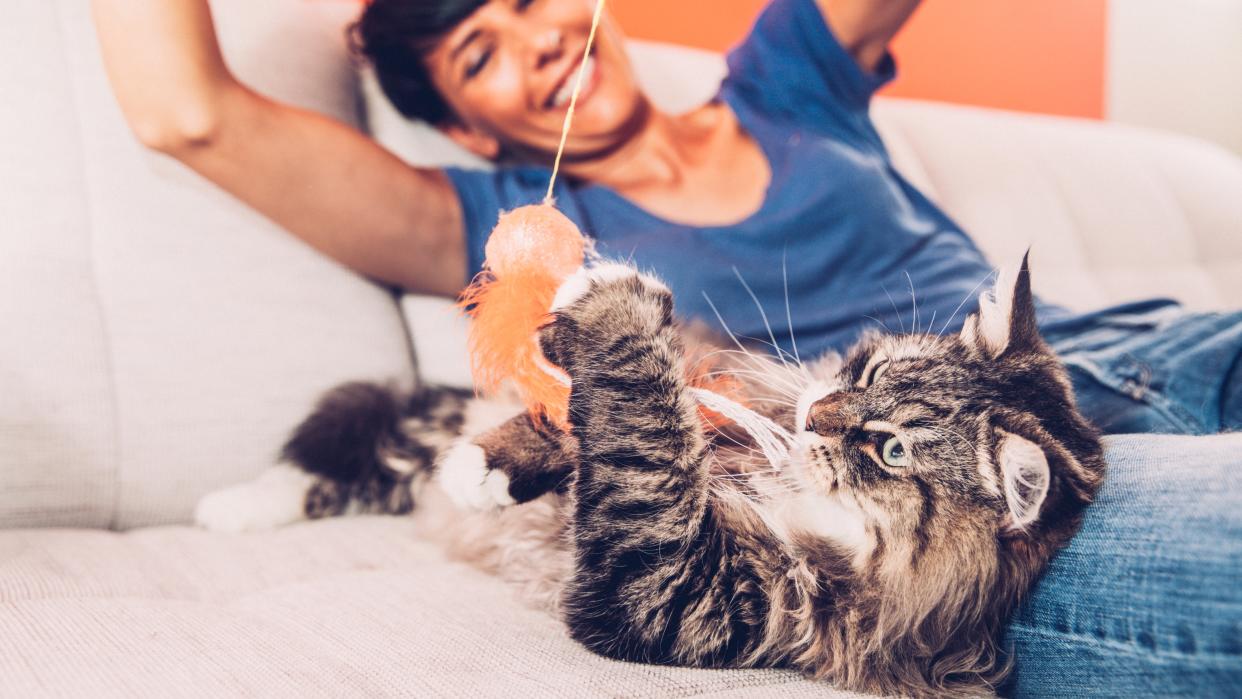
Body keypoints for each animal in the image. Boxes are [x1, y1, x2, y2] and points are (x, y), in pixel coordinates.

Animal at [196, 258, 1107, 699]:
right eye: (870, 369)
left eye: (889, 452)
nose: (819, 413)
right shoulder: (732, 405)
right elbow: (629, 418)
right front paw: (493, 464)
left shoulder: (681, 593)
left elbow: (643, 444)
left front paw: (615, 311)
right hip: (408, 429)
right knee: (339, 448)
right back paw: (235, 505)